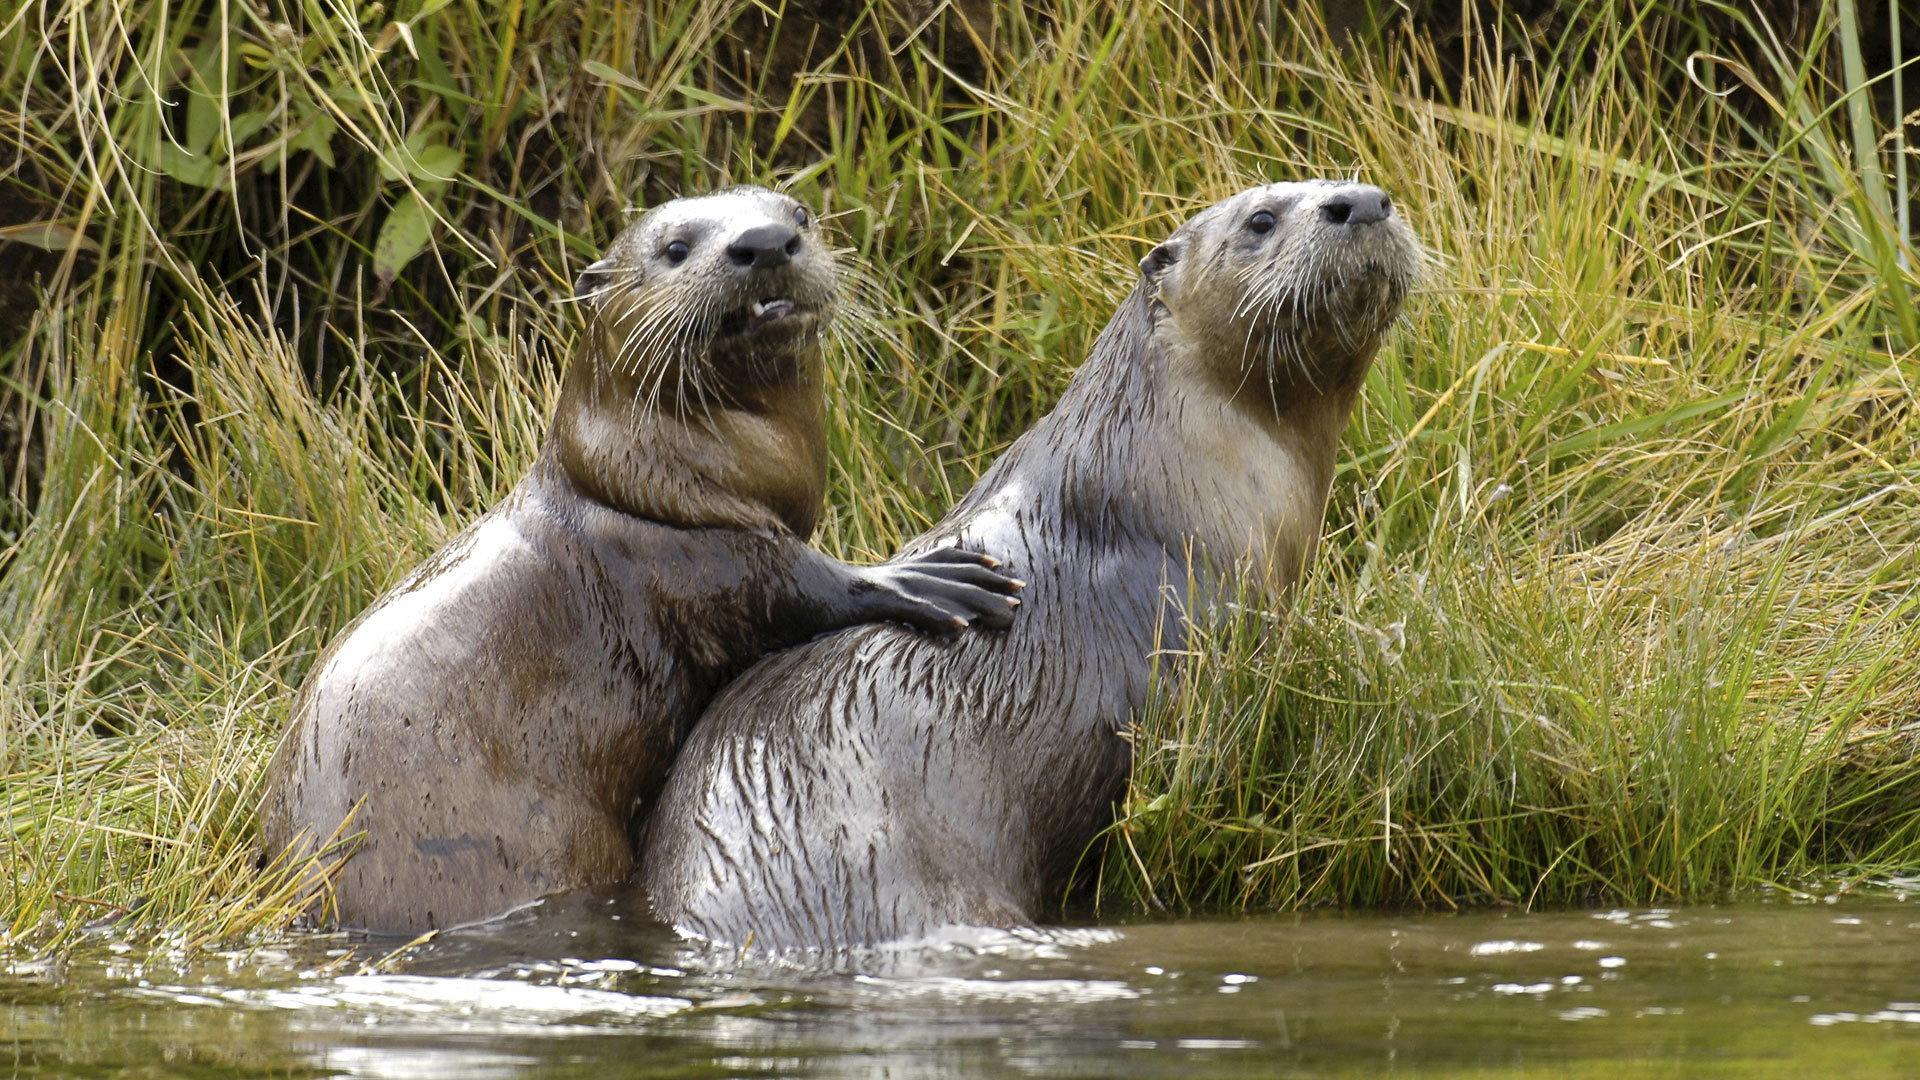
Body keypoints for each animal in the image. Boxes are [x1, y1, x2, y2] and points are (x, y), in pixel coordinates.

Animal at [258, 186, 1022, 935]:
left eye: (799, 213)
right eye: (675, 249)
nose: (764, 242)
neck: (648, 482)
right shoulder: (689, 555)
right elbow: (796, 588)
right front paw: (920, 578)